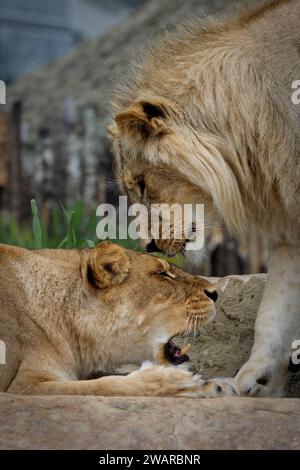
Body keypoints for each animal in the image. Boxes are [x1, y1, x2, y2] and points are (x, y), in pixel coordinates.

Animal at [0, 242, 234, 396]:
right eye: (163, 274)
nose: (215, 293)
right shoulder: (22, 386)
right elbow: (104, 385)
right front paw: (174, 383)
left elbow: (108, 375)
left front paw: (214, 386)